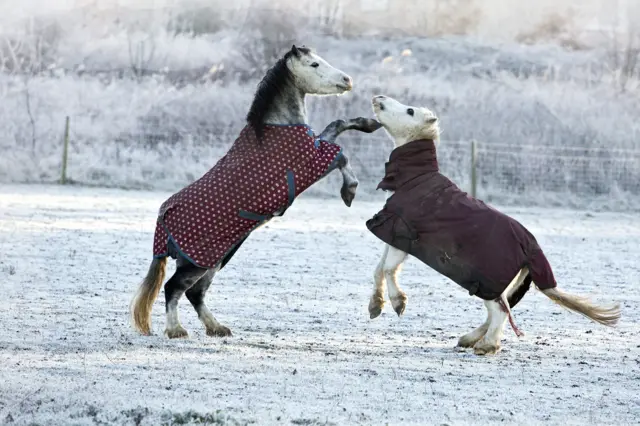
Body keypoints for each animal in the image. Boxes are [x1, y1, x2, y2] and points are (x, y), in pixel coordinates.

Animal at [131, 45, 380, 340]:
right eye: (314, 64)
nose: (347, 80)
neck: (275, 127)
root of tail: (164, 217)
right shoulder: (313, 161)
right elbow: (341, 155)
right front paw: (349, 191)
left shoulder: (315, 146)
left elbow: (337, 124)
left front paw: (370, 123)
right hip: (197, 262)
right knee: (174, 288)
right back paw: (176, 330)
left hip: (216, 258)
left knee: (195, 293)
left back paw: (217, 328)